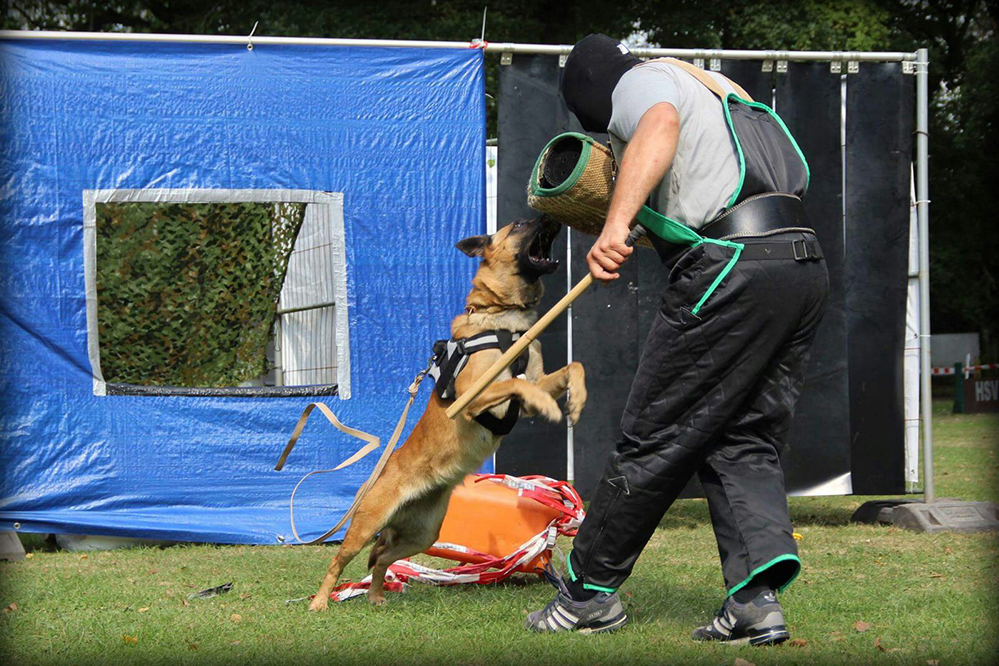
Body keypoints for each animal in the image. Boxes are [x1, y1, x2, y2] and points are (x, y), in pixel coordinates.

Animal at [306, 215, 584, 608]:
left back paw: (375, 595)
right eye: (519, 224)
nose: (551, 216)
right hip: (366, 526)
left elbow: (572, 367)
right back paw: (319, 601)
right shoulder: (469, 398)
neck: (503, 320)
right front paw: (548, 405)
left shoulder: (535, 379)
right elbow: (517, 385)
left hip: (425, 533)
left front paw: (577, 400)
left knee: (384, 558)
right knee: (339, 560)